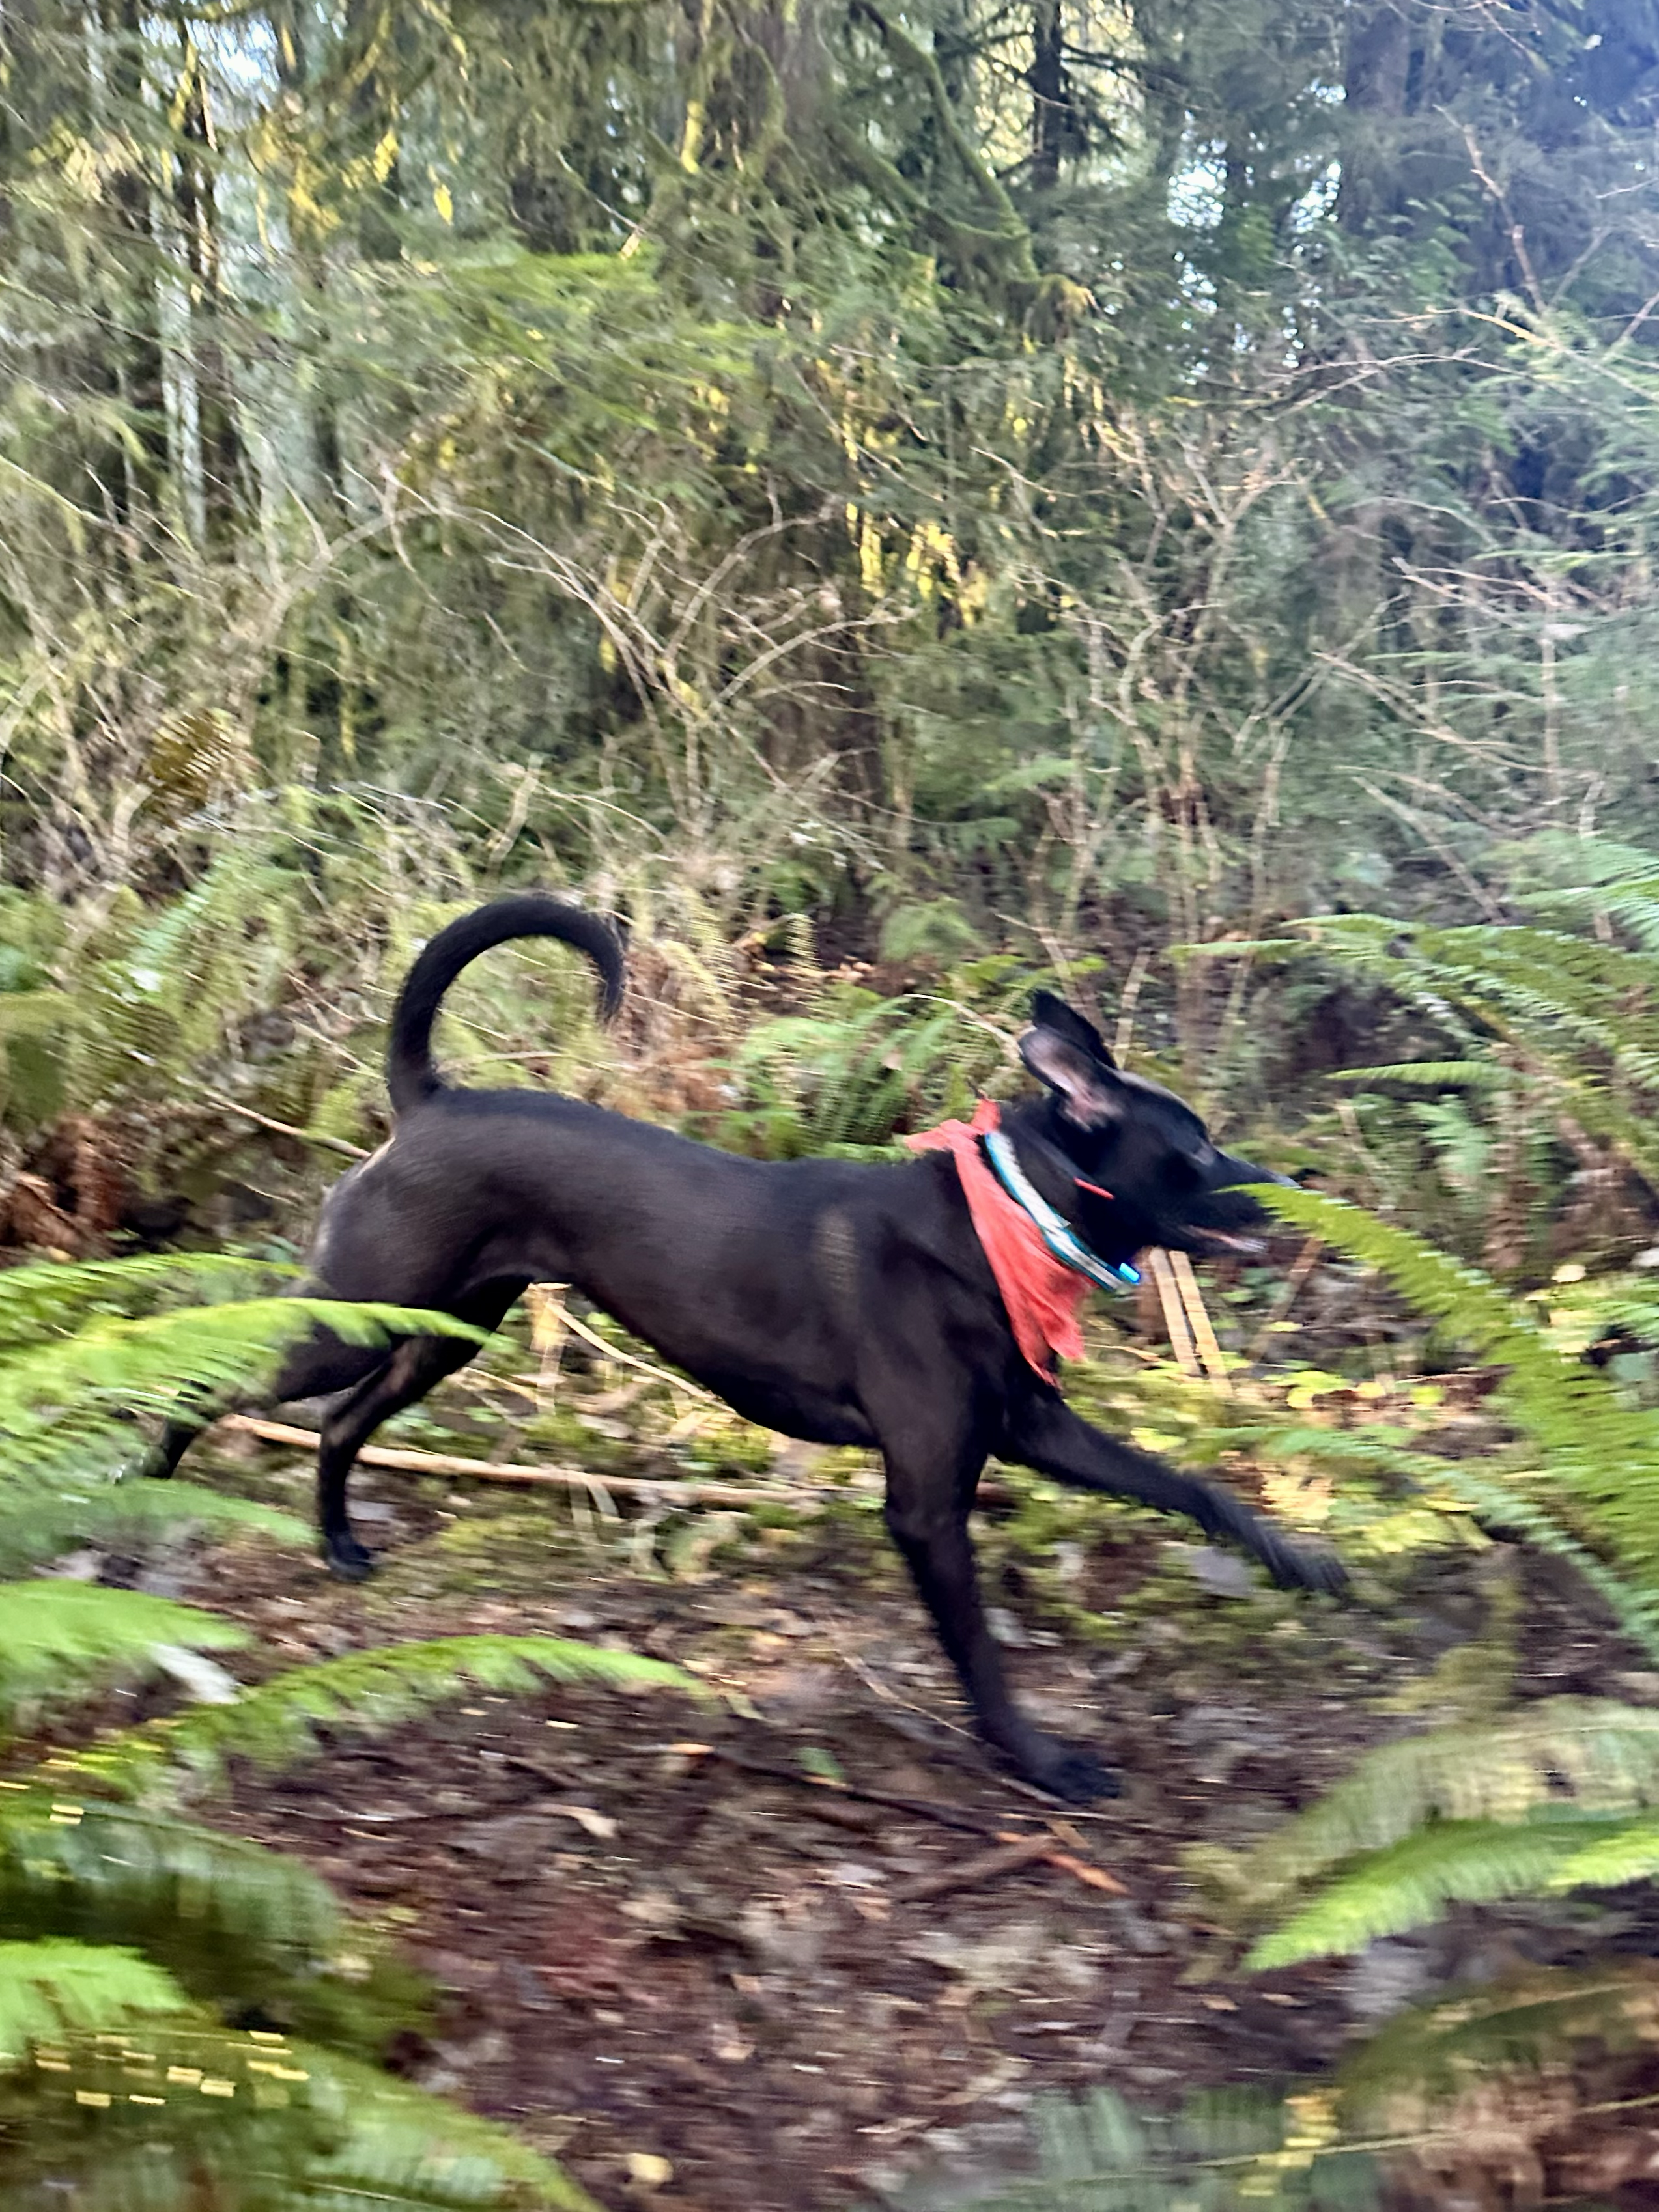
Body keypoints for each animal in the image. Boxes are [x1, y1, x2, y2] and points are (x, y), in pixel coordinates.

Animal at [152, 898, 1354, 1796]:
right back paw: (143, 1488)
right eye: (1197, 1146)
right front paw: (1038, 1759)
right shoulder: (927, 1501)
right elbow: (978, 1651)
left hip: (444, 1330)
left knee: (341, 1423)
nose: (1301, 1191)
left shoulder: (1030, 1426)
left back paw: (339, 1543)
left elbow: (1193, 1486)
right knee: (211, 1382)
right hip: (362, 1307)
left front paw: (1299, 1560)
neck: (1007, 1219)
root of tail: (427, 1102)